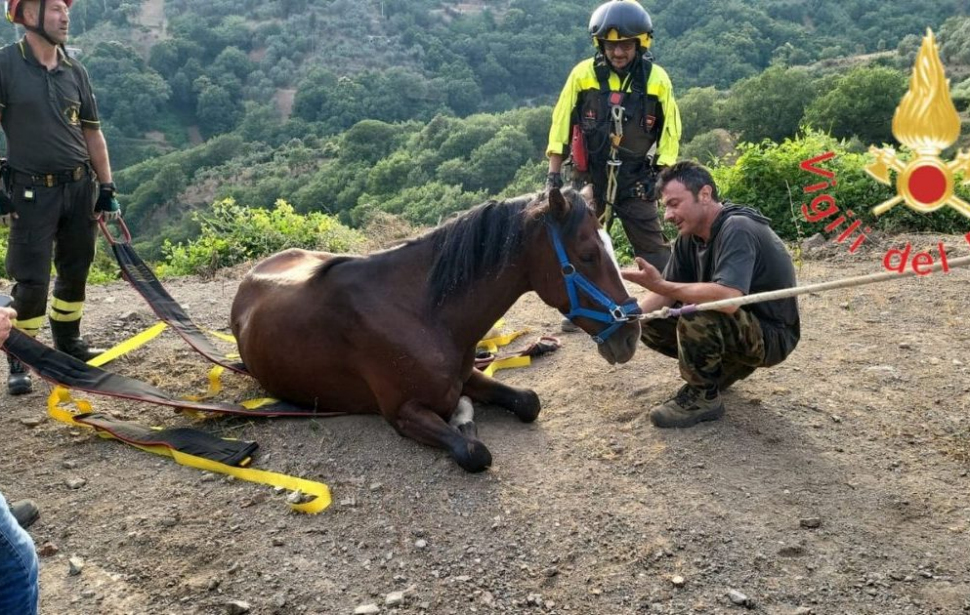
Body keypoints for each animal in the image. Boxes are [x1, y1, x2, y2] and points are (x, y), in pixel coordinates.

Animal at [230, 188, 642, 472]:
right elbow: (474, 452)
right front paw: (465, 423)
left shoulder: (467, 376)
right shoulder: (403, 412)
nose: (631, 335)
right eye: (587, 255)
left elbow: (528, 401)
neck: (423, 315)